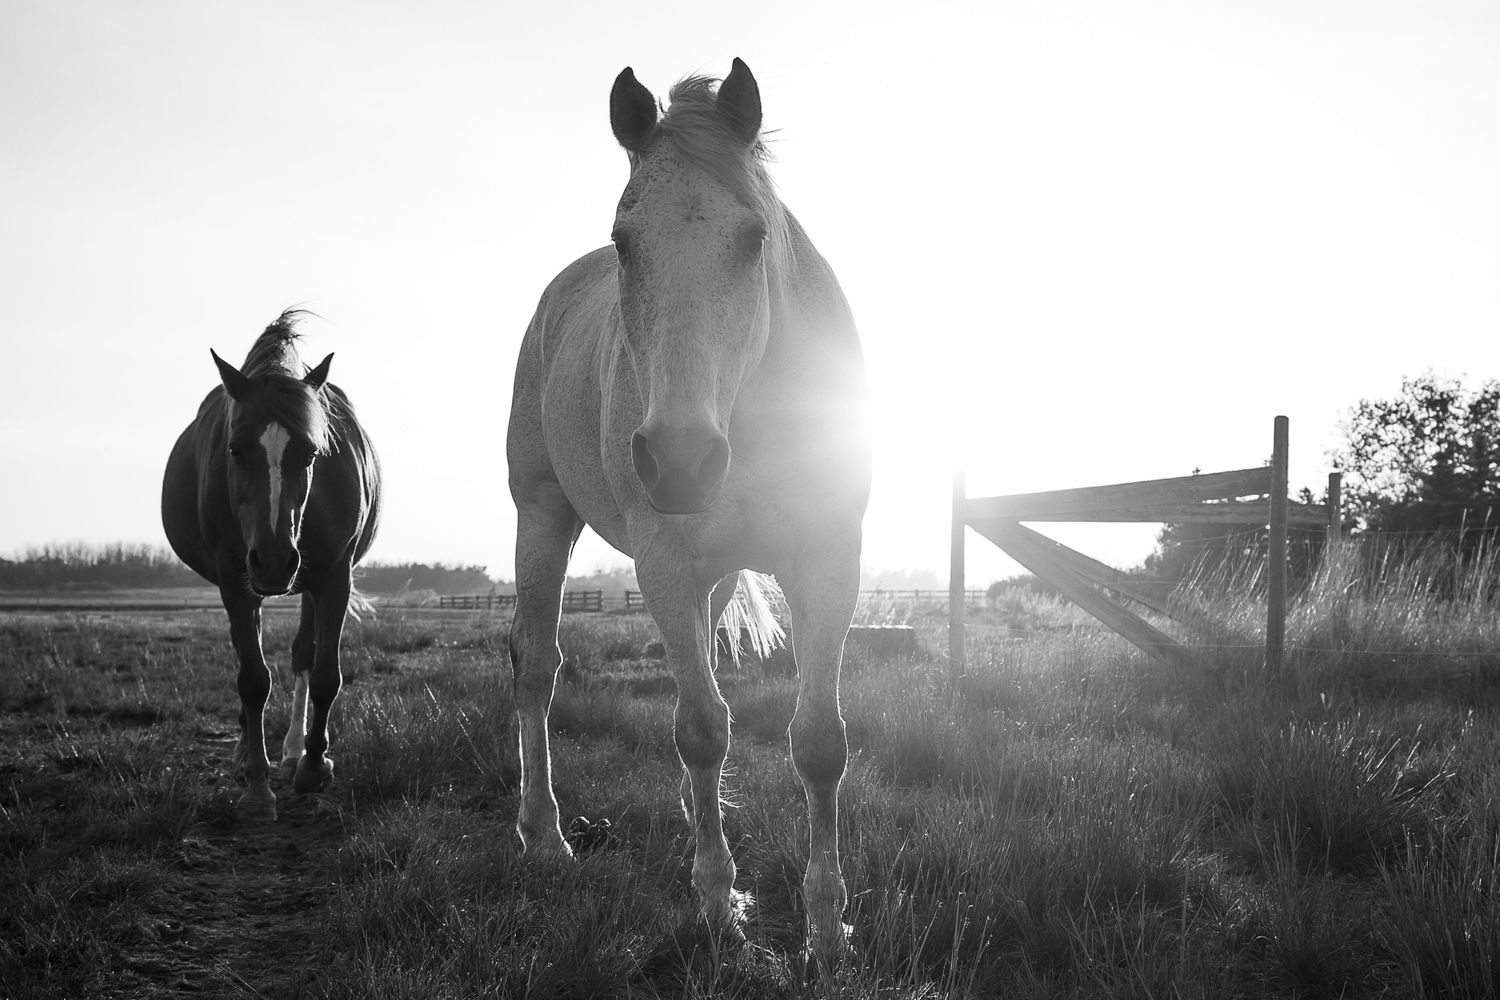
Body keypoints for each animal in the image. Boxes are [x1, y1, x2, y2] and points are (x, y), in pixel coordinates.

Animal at [162, 309, 381, 822]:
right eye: (235, 449)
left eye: (312, 451)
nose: (276, 560)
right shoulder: (235, 579)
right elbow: (253, 678)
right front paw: (258, 789)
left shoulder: (335, 576)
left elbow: (325, 675)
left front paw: (313, 766)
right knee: (248, 655)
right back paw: (249, 751)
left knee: (303, 653)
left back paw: (292, 751)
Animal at [506, 59, 870, 965]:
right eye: (625, 242)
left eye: (753, 239)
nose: (679, 458)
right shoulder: (663, 565)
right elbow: (703, 727)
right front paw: (715, 907)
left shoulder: (829, 560)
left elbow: (819, 742)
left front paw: (827, 930)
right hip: (542, 515)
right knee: (535, 668)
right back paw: (544, 835)